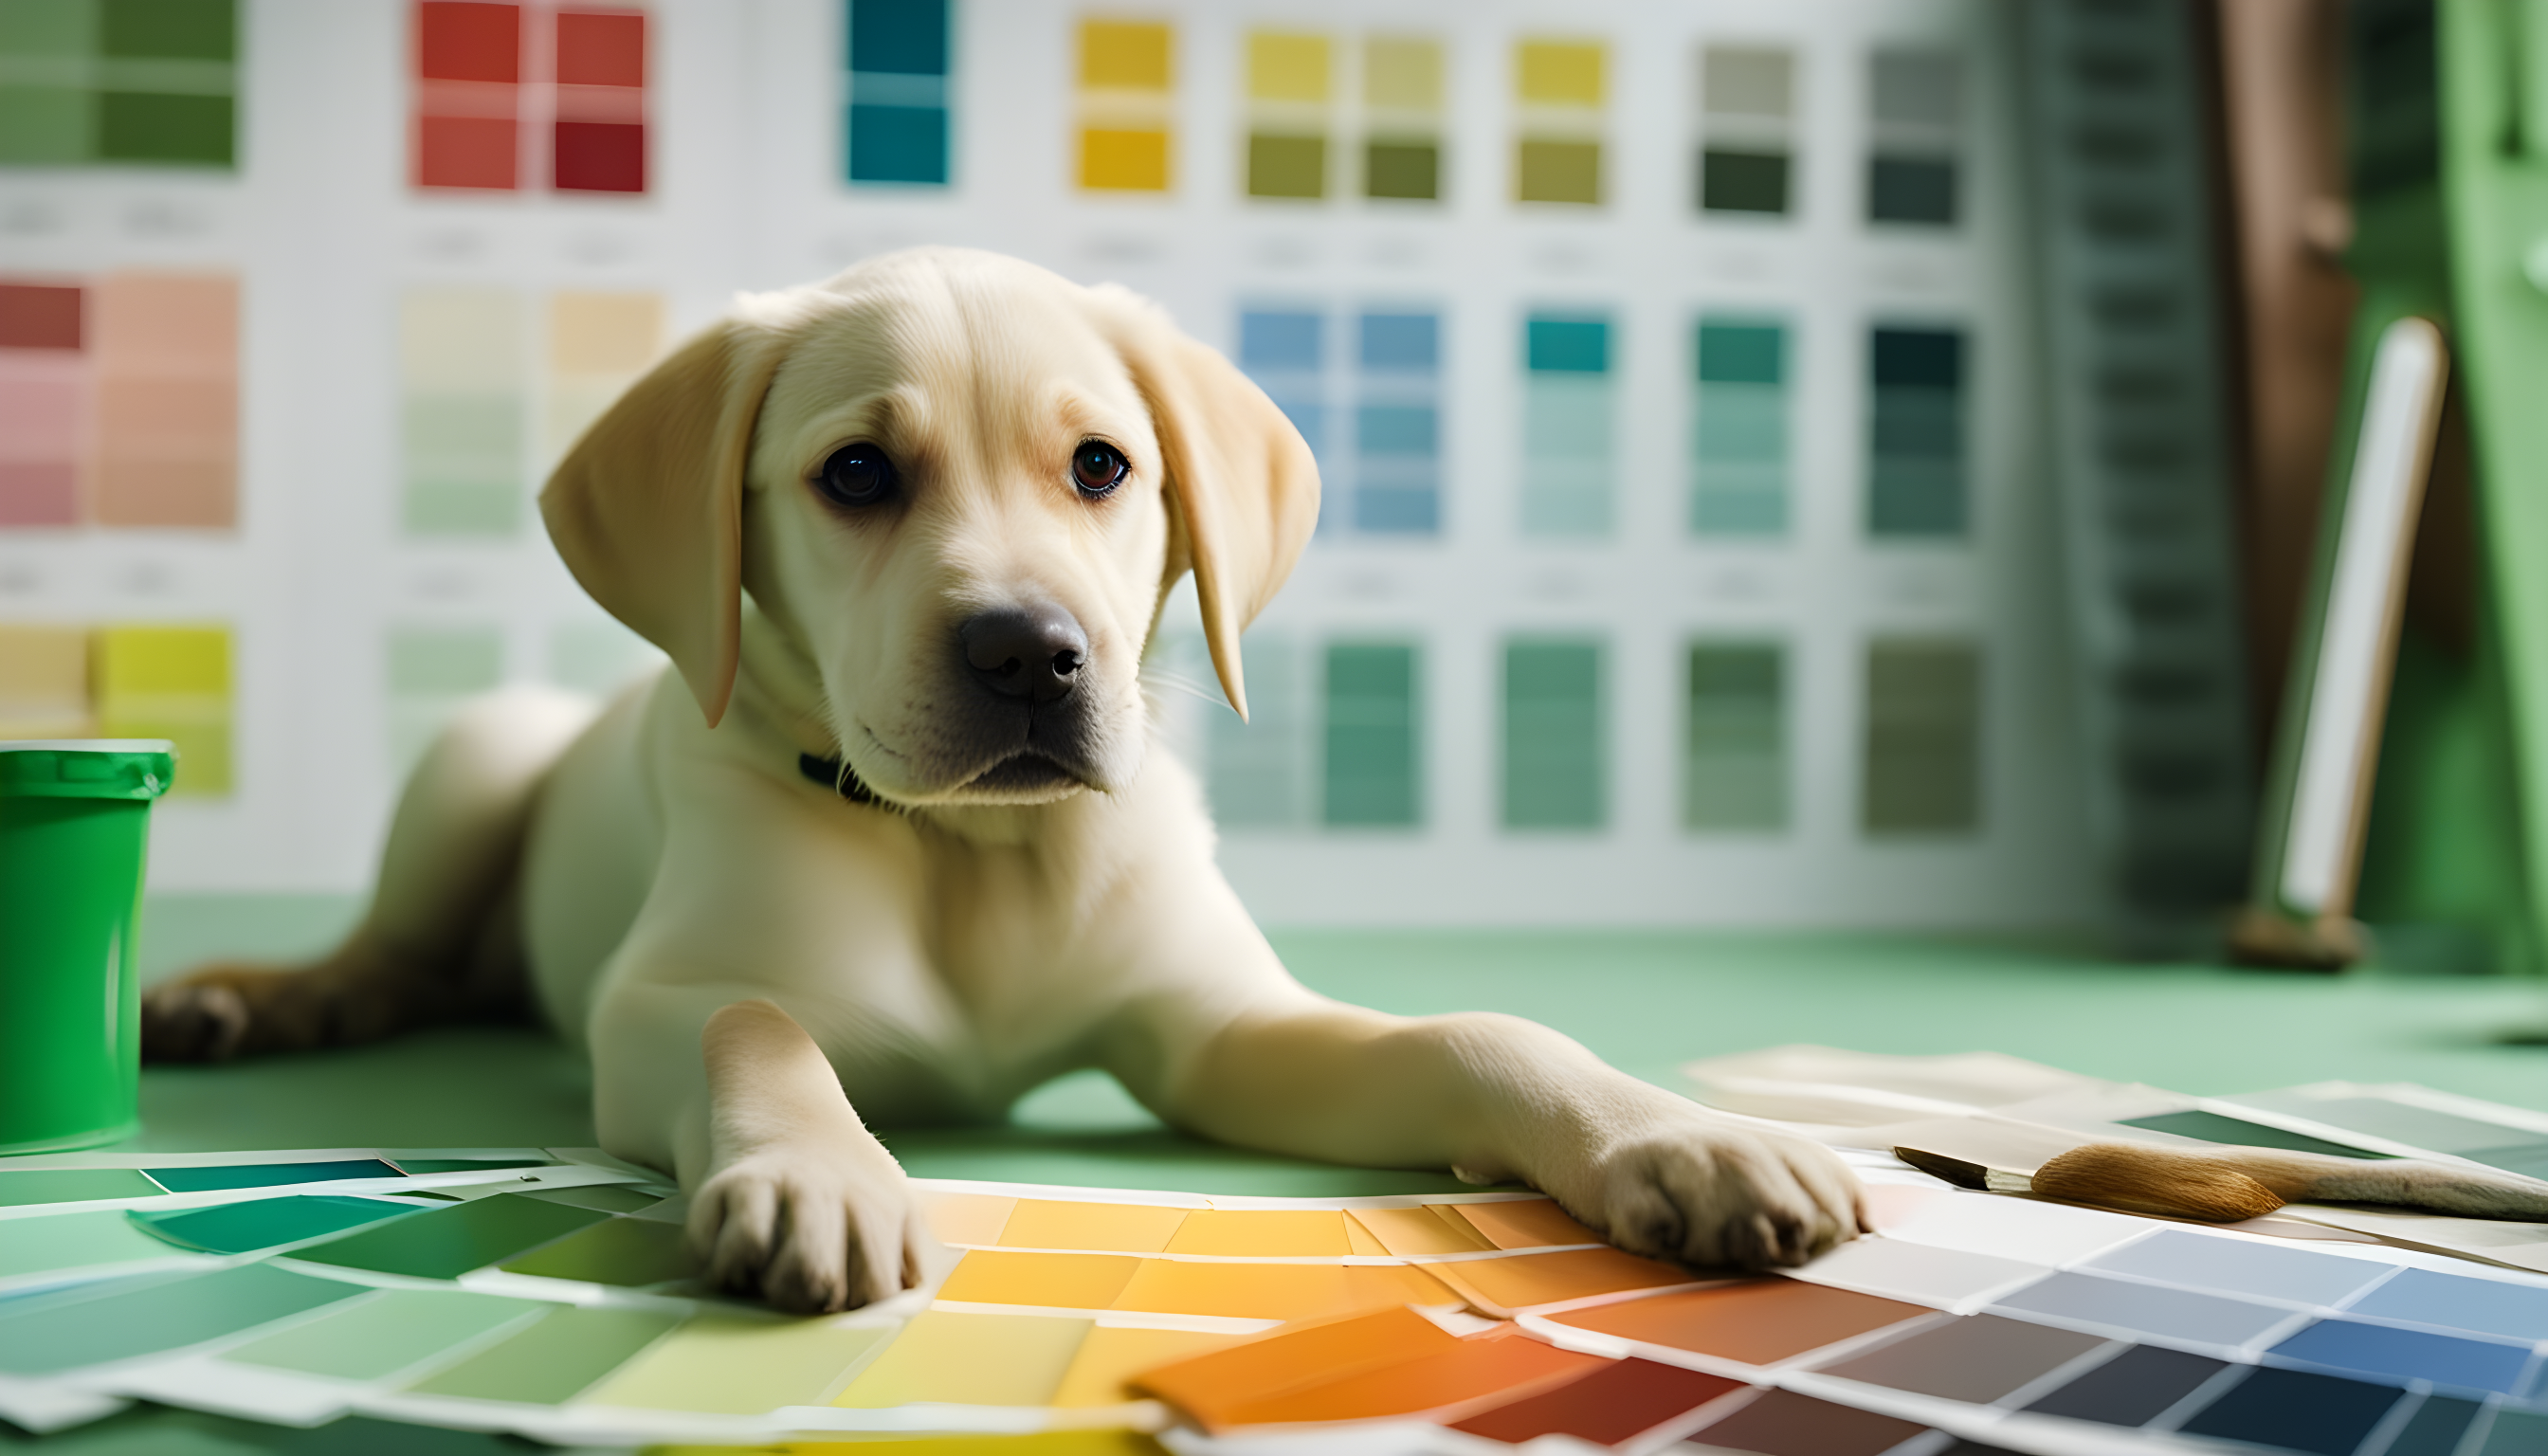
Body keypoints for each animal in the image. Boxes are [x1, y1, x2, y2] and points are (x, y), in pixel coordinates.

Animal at [139, 246, 1865, 1305]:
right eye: (854, 474)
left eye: (1101, 466)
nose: (1031, 654)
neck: (971, 850)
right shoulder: (654, 1000)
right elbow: (756, 1019)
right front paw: (819, 1172)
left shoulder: (1223, 1031)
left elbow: (1475, 1030)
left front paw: (1672, 1133)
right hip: (476, 759)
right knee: (391, 951)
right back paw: (253, 997)